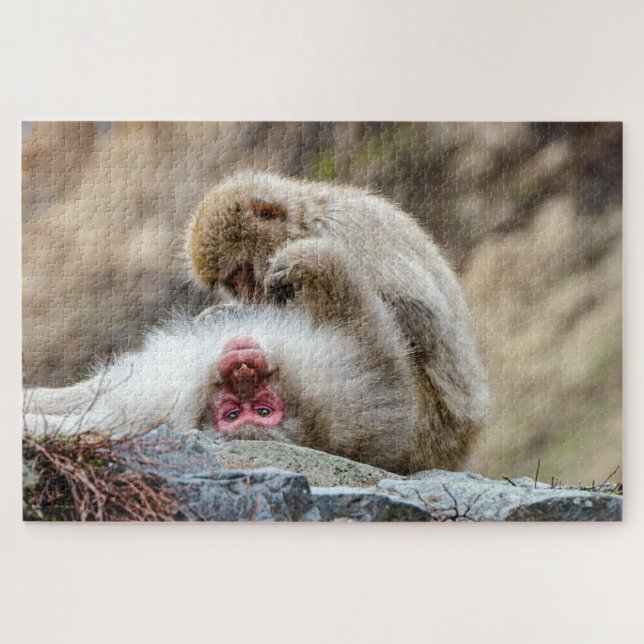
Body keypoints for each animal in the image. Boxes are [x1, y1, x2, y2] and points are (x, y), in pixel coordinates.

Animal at [186, 171, 488, 471]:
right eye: (233, 283)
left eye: (242, 273)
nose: (250, 296)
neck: (304, 223)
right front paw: (221, 315)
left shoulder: (343, 230)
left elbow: (420, 318)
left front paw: (311, 264)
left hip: (426, 430)